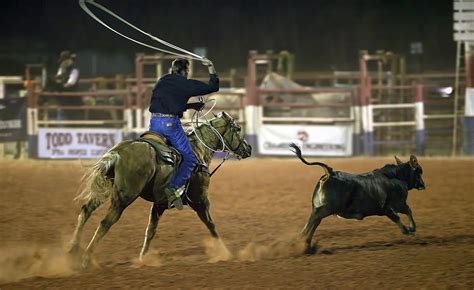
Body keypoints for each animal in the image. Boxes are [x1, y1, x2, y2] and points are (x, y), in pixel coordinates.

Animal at [68, 111, 252, 268]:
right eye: (237, 128)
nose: (249, 148)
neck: (199, 150)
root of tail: (118, 153)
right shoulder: (200, 200)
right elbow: (211, 225)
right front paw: (225, 253)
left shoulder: (159, 204)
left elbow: (150, 230)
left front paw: (142, 259)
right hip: (124, 197)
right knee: (105, 222)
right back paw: (85, 259)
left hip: (107, 189)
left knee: (85, 211)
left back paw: (72, 250)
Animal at [288, 144, 426, 253]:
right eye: (419, 172)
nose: (423, 185)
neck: (396, 176)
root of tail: (330, 173)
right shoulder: (396, 205)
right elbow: (406, 212)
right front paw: (410, 229)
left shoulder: (388, 209)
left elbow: (398, 217)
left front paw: (408, 229)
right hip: (328, 208)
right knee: (315, 217)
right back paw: (300, 239)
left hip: (322, 206)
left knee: (315, 220)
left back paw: (306, 243)